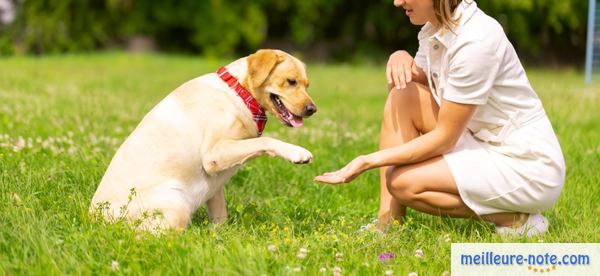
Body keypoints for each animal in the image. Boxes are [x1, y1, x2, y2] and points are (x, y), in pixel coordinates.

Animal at [90, 49, 314, 231]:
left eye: (307, 85)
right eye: (291, 81)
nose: (313, 109)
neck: (240, 93)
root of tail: (96, 218)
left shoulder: (215, 183)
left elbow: (220, 216)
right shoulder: (214, 154)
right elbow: (265, 141)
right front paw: (297, 152)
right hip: (176, 203)